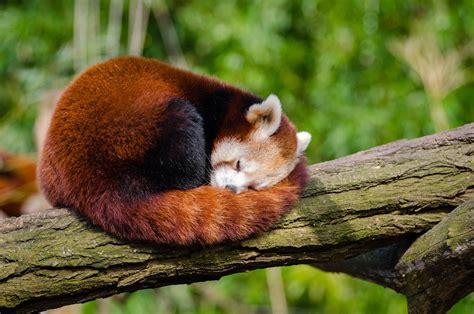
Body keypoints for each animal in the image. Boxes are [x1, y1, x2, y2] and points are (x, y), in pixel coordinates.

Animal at [37, 55, 312, 245]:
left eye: (254, 187)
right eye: (238, 164)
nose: (231, 189)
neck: (225, 106)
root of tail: (92, 180)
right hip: (134, 127)